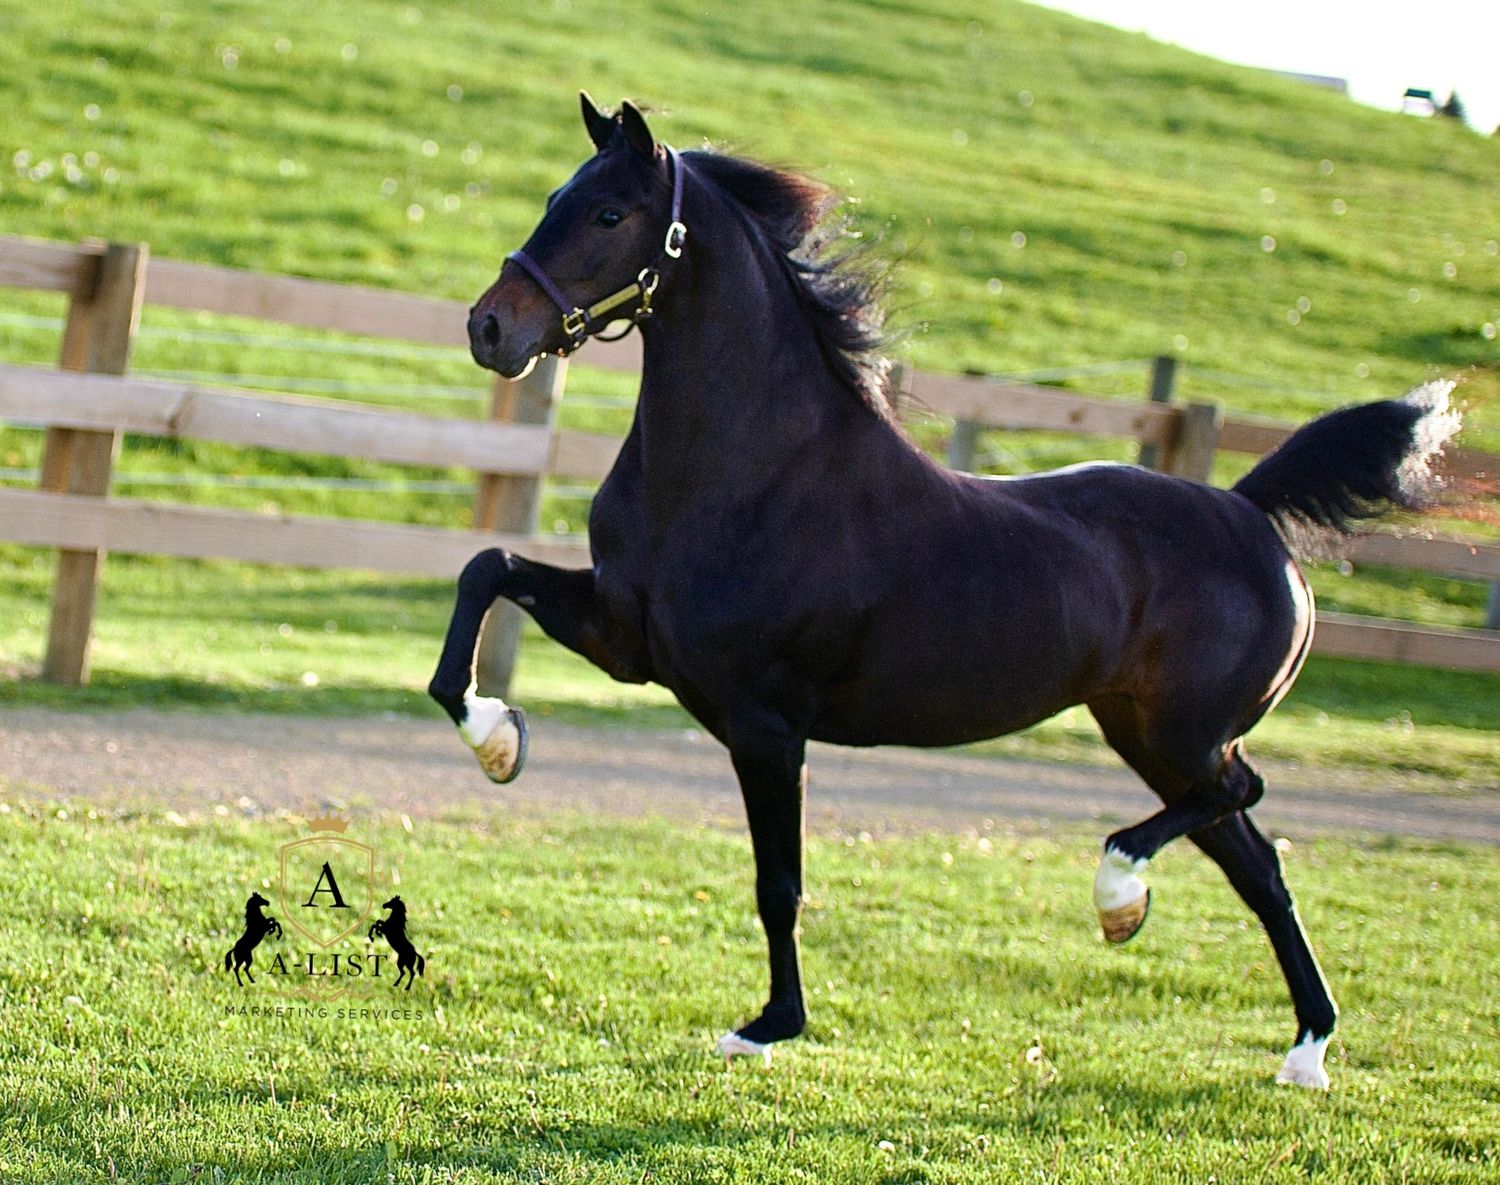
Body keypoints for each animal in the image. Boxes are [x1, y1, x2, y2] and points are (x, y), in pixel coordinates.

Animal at [428, 93, 1461, 1089]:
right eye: (557, 195)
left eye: (609, 212)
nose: (489, 327)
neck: (752, 471)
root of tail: (1251, 514)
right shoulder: (628, 638)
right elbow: (486, 574)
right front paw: (498, 739)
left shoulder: (767, 723)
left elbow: (778, 883)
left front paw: (768, 1027)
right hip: (1143, 729)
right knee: (1258, 861)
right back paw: (1299, 1046)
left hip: (1185, 733)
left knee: (1240, 797)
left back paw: (1120, 893)